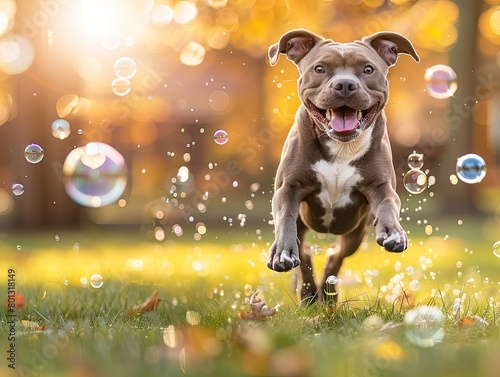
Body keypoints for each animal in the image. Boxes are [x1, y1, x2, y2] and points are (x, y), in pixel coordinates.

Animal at [268, 28, 420, 302]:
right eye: (319, 68)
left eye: (368, 69)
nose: (345, 85)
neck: (341, 147)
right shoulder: (288, 189)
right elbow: (285, 217)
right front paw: (282, 252)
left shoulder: (381, 187)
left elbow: (388, 204)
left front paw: (394, 232)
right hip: (304, 225)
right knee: (305, 252)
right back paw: (308, 293)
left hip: (355, 233)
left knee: (335, 256)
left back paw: (327, 293)